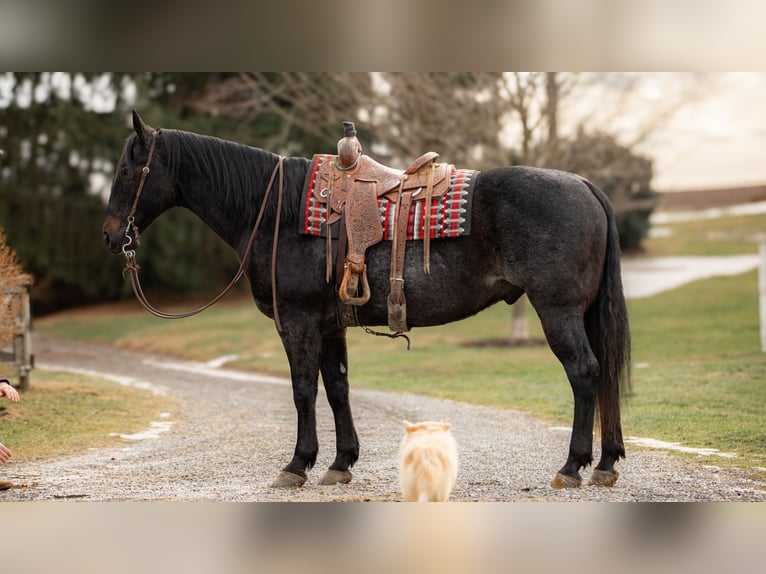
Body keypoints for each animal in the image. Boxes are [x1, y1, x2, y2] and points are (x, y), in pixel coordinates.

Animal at [102, 111, 632, 490]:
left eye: (128, 169)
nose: (109, 234)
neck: (273, 210)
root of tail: (584, 185)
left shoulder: (296, 320)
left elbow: (303, 390)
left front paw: (297, 465)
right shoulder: (329, 323)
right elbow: (337, 387)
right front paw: (340, 462)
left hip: (558, 311)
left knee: (585, 373)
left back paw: (573, 466)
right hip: (581, 313)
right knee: (603, 371)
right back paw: (606, 463)